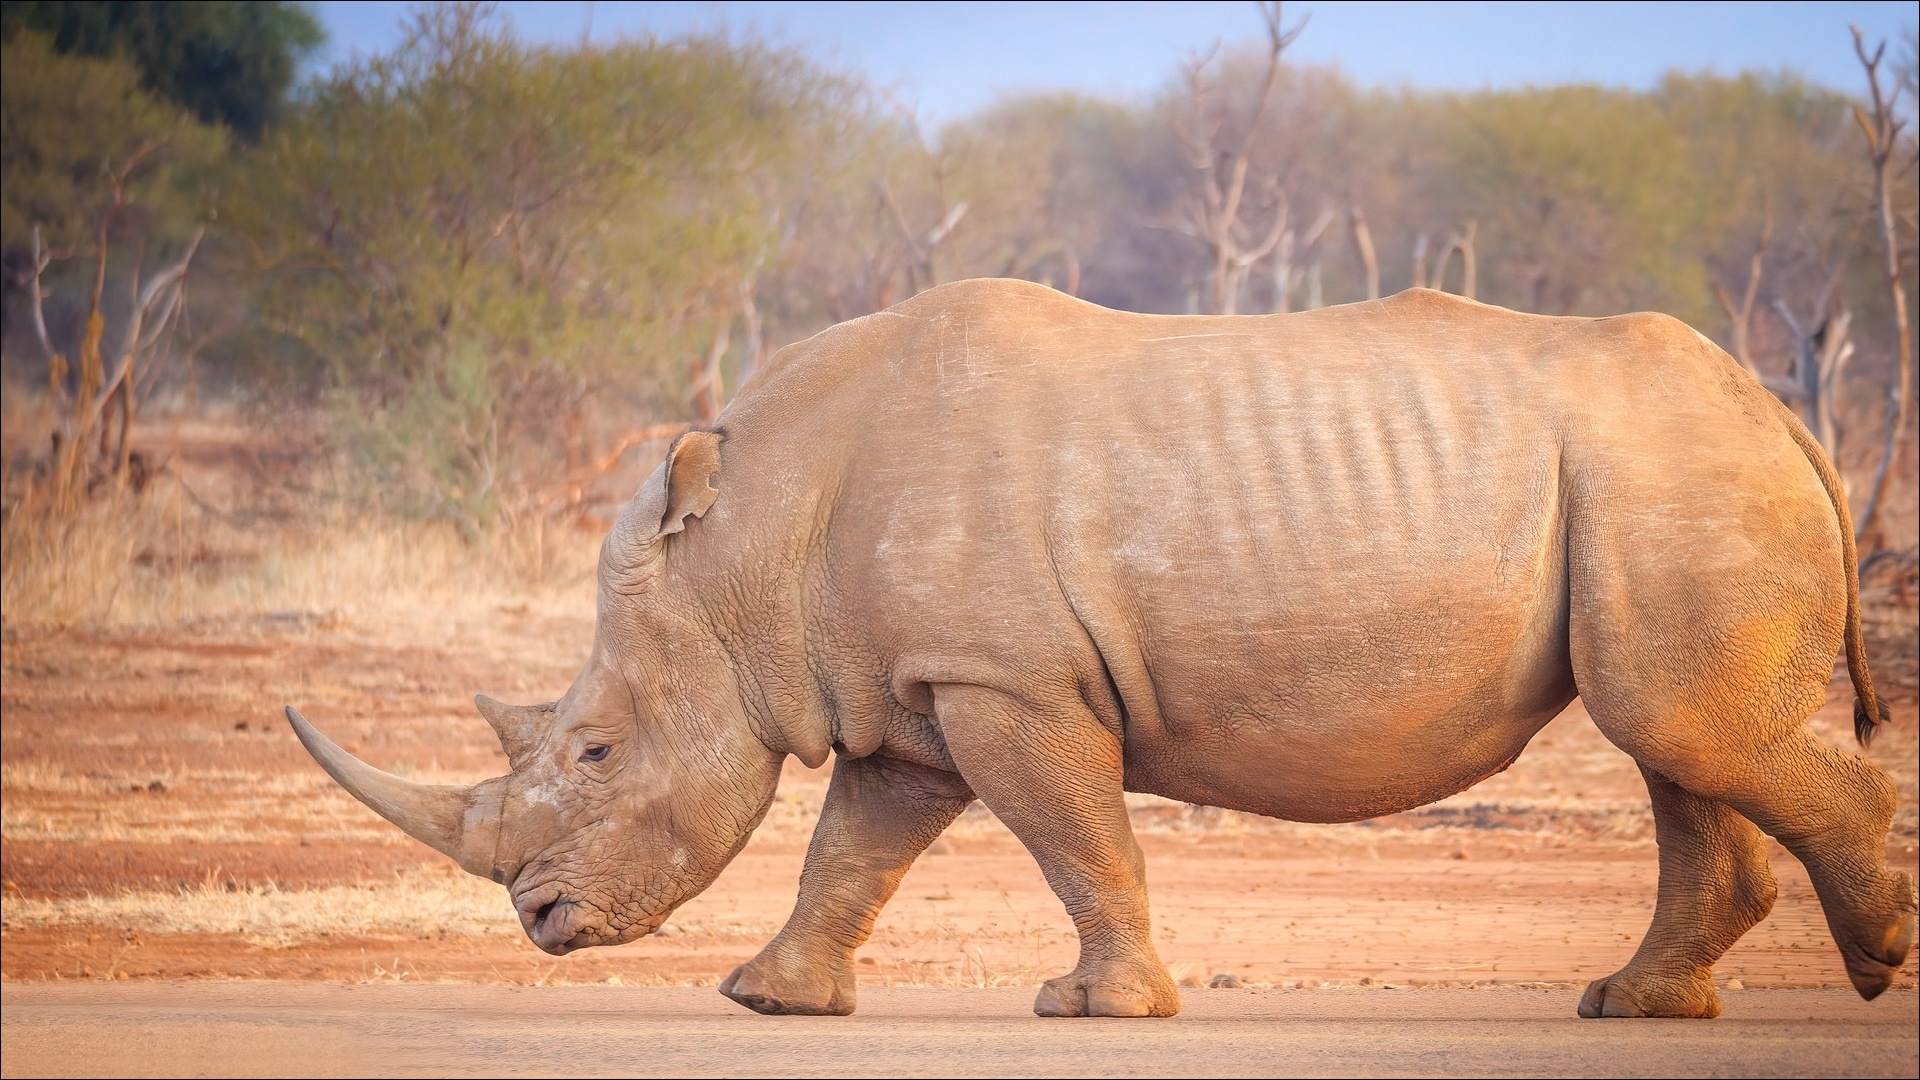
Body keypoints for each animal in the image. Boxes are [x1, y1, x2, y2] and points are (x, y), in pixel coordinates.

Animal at [288, 280, 1915, 1019]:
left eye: (595, 749)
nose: (540, 922)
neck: (748, 541)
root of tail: (1787, 417)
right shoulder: (916, 685)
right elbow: (856, 844)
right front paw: (769, 1000)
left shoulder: (1004, 678)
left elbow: (1075, 834)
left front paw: (1102, 1011)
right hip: (1661, 485)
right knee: (1680, 739)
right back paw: (1634, 1007)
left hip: (1675, 476)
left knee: (1685, 732)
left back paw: (1876, 964)